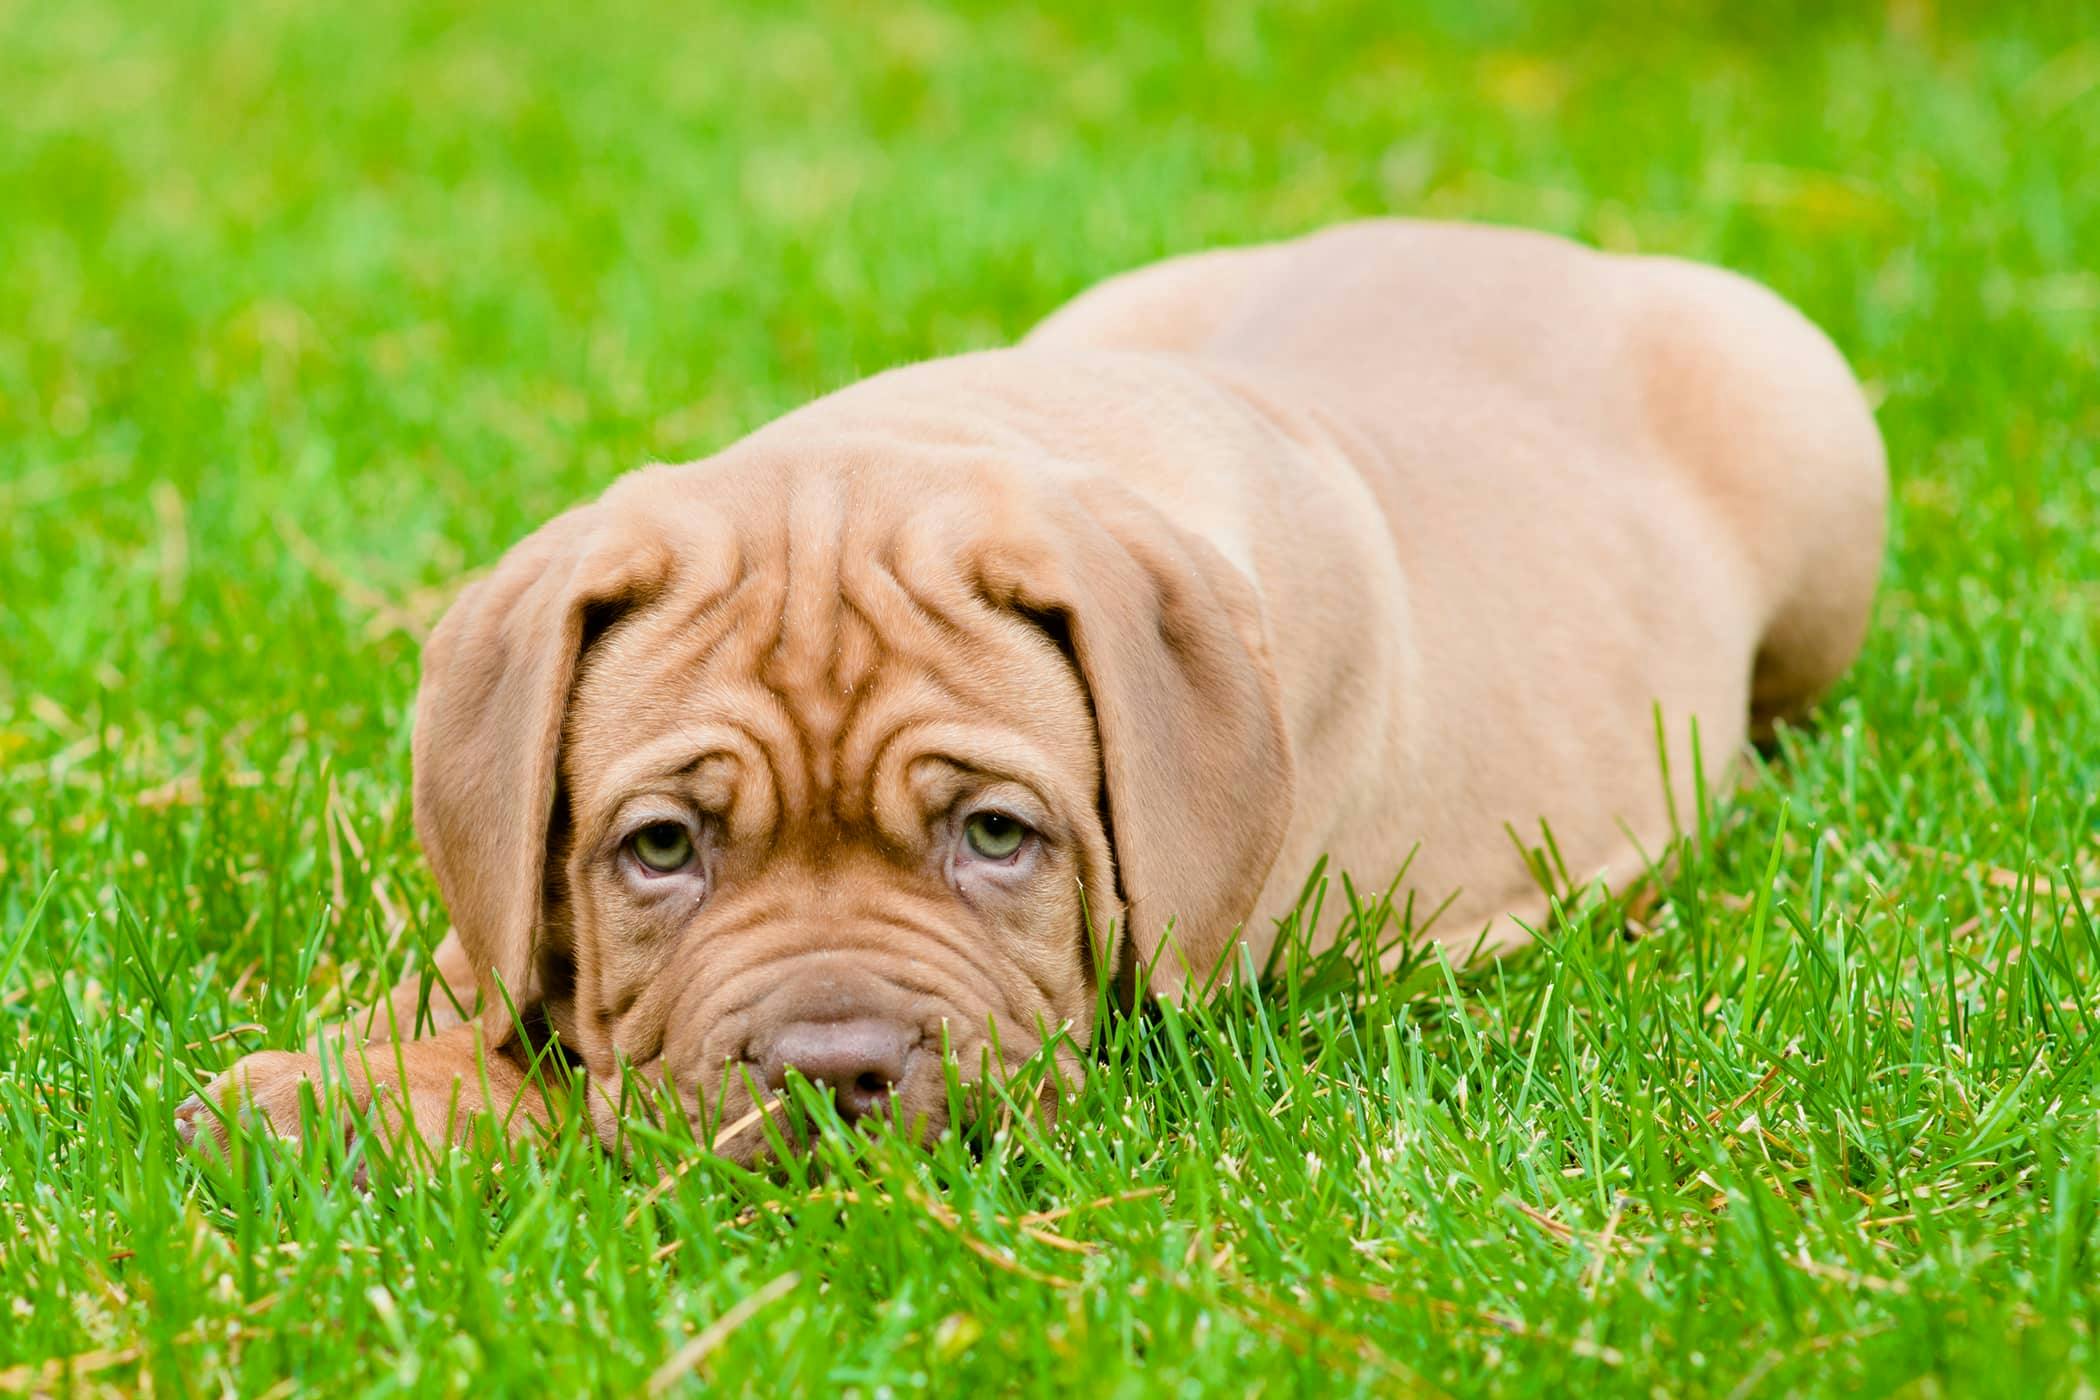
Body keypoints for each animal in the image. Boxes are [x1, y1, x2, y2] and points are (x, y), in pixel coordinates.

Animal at [180, 219, 1889, 1158]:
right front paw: (349, 1062)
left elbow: (584, 1093)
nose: (835, 1078)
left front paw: (355, 1116)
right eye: (659, 849)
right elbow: (489, 969)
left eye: (997, 837)